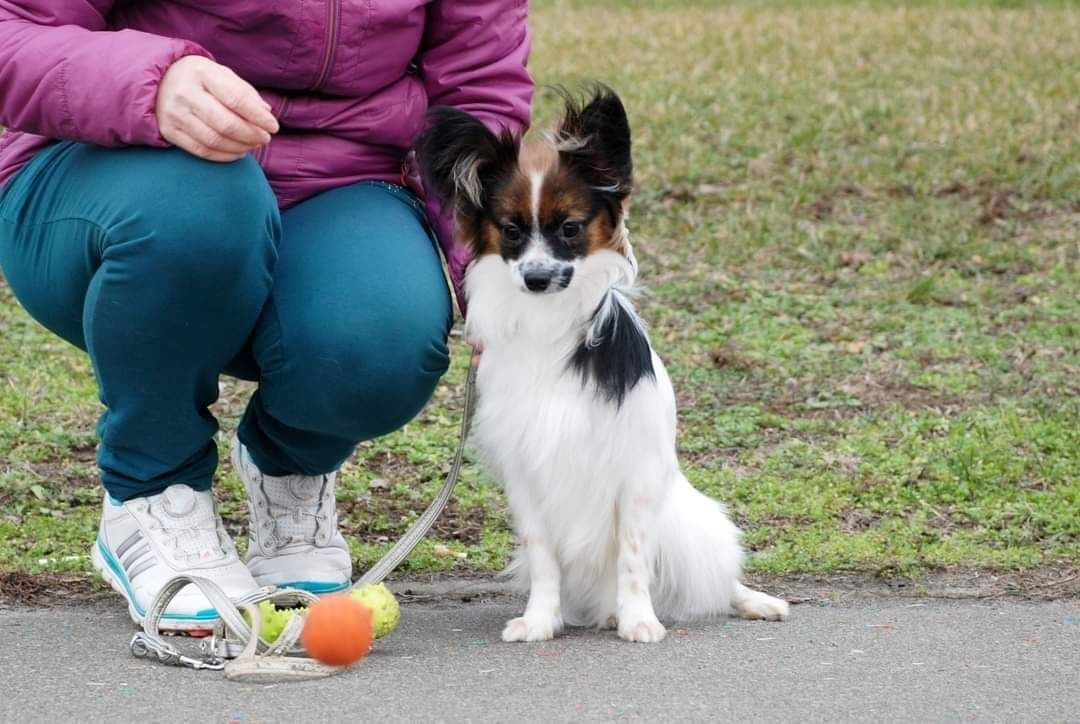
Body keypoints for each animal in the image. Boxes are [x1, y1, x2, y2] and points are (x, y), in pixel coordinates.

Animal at [416, 88, 790, 644]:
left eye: (569, 228)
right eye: (511, 231)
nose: (536, 277)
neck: (548, 323)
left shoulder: (635, 472)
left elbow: (632, 559)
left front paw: (638, 620)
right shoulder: (527, 475)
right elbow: (544, 557)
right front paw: (540, 620)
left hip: (687, 522)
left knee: (710, 576)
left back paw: (748, 602)